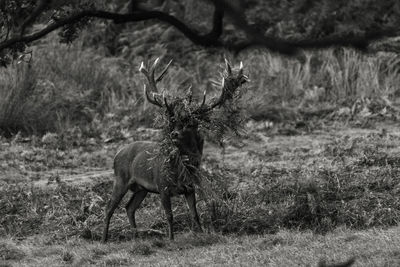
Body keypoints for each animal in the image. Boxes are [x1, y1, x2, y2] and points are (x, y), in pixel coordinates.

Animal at [101, 58, 248, 243]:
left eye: (190, 124)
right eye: (172, 122)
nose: (174, 134)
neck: (180, 172)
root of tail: (117, 154)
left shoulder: (190, 188)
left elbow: (195, 214)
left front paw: (201, 233)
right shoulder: (162, 186)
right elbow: (169, 215)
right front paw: (171, 239)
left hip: (141, 188)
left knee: (129, 207)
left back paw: (136, 236)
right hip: (120, 178)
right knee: (109, 208)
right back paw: (104, 239)